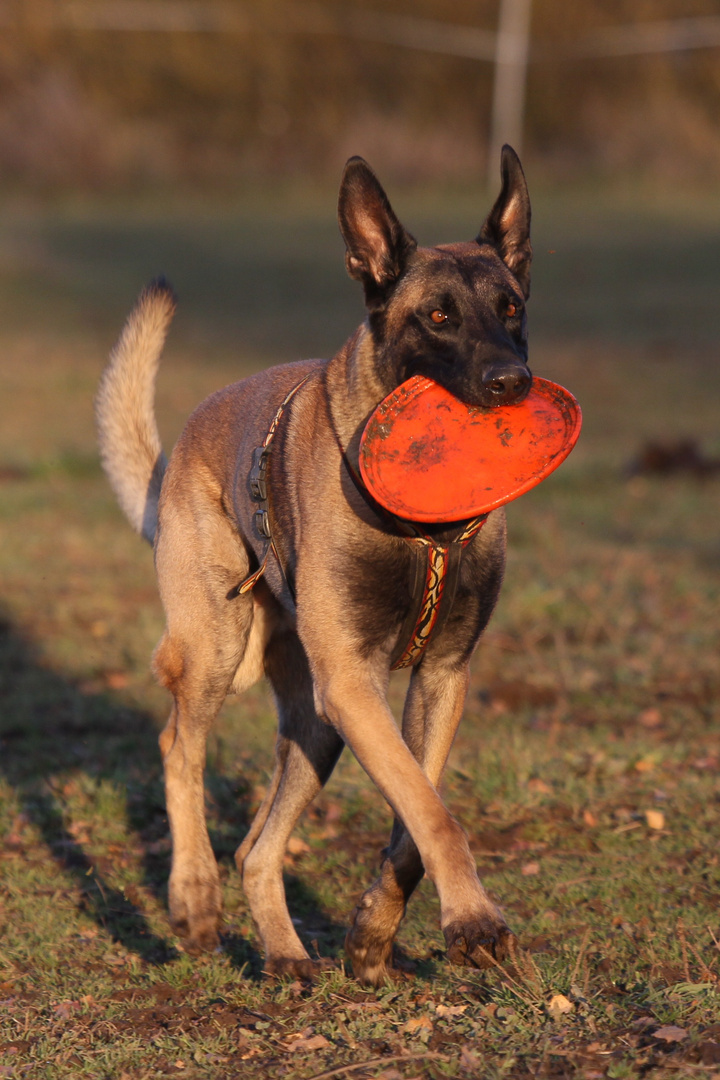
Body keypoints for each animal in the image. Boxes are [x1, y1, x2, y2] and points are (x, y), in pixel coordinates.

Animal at [95, 145, 533, 989]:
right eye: (438, 316)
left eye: (512, 307)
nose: (512, 383)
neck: (424, 530)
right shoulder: (356, 684)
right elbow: (434, 813)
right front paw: (475, 920)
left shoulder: (439, 679)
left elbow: (414, 820)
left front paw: (370, 935)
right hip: (218, 651)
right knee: (178, 747)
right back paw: (193, 899)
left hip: (315, 729)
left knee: (255, 848)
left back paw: (284, 951)